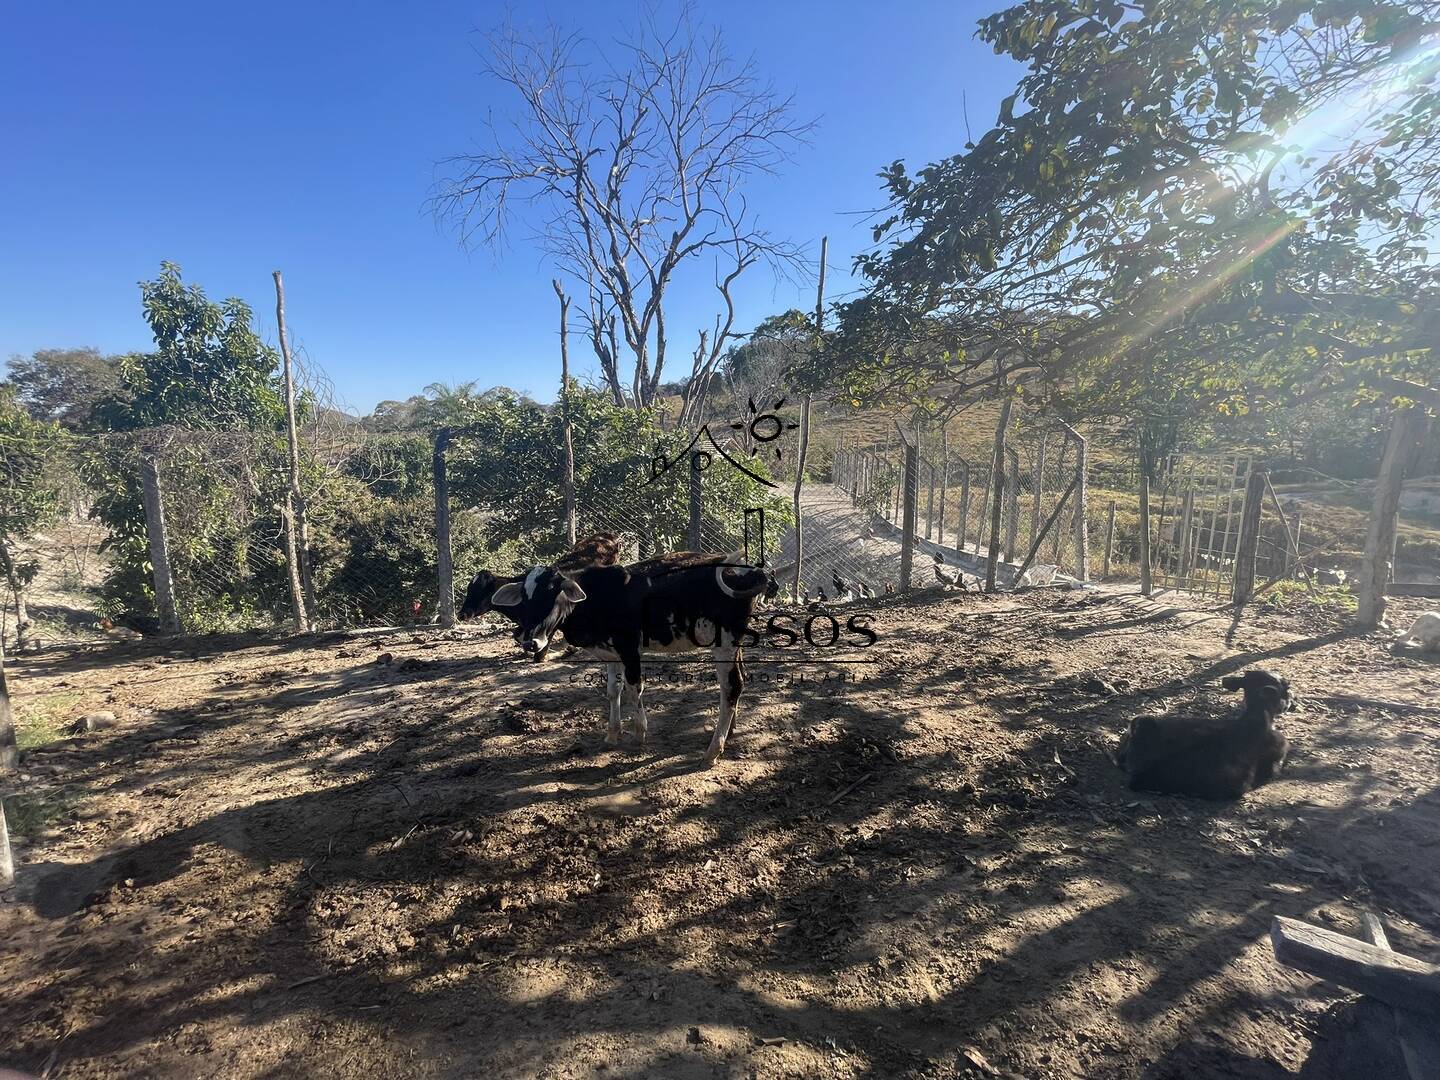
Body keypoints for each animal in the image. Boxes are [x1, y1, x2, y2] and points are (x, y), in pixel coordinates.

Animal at [486, 552, 777, 766]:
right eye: (526, 598)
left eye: (554, 594)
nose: (530, 642)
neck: (598, 596)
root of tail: (751, 571)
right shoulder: (609, 654)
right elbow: (613, 691)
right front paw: (612, 734)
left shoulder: (629, 649)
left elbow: (634, 688)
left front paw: (639, 734)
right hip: (734, 644)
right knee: (739, 681)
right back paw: (730, 732)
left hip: (724, 641)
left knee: (732, 686)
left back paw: (713, 750)